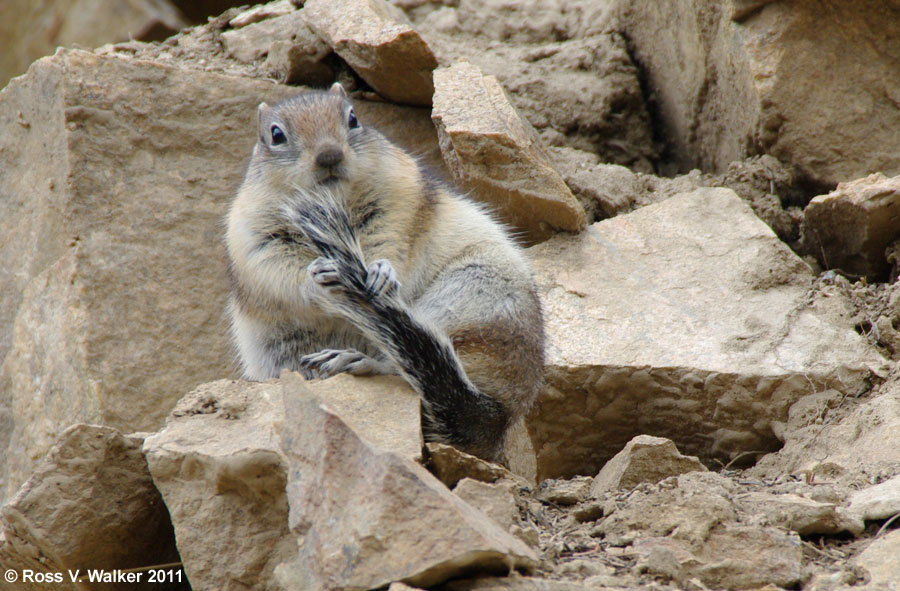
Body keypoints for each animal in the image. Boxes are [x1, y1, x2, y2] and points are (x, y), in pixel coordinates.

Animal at [225, 83, 544, 460]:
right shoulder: (255, 235)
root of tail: (500, 416)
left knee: (400, 368)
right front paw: (313, 280)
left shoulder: (397, 203)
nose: (329, 155)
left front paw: (381, 271)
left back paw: (353, 359)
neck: (335, 205)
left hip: (470, 299)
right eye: (276, 135)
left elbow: (391, 243)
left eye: (353, 118)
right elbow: (276, 270)